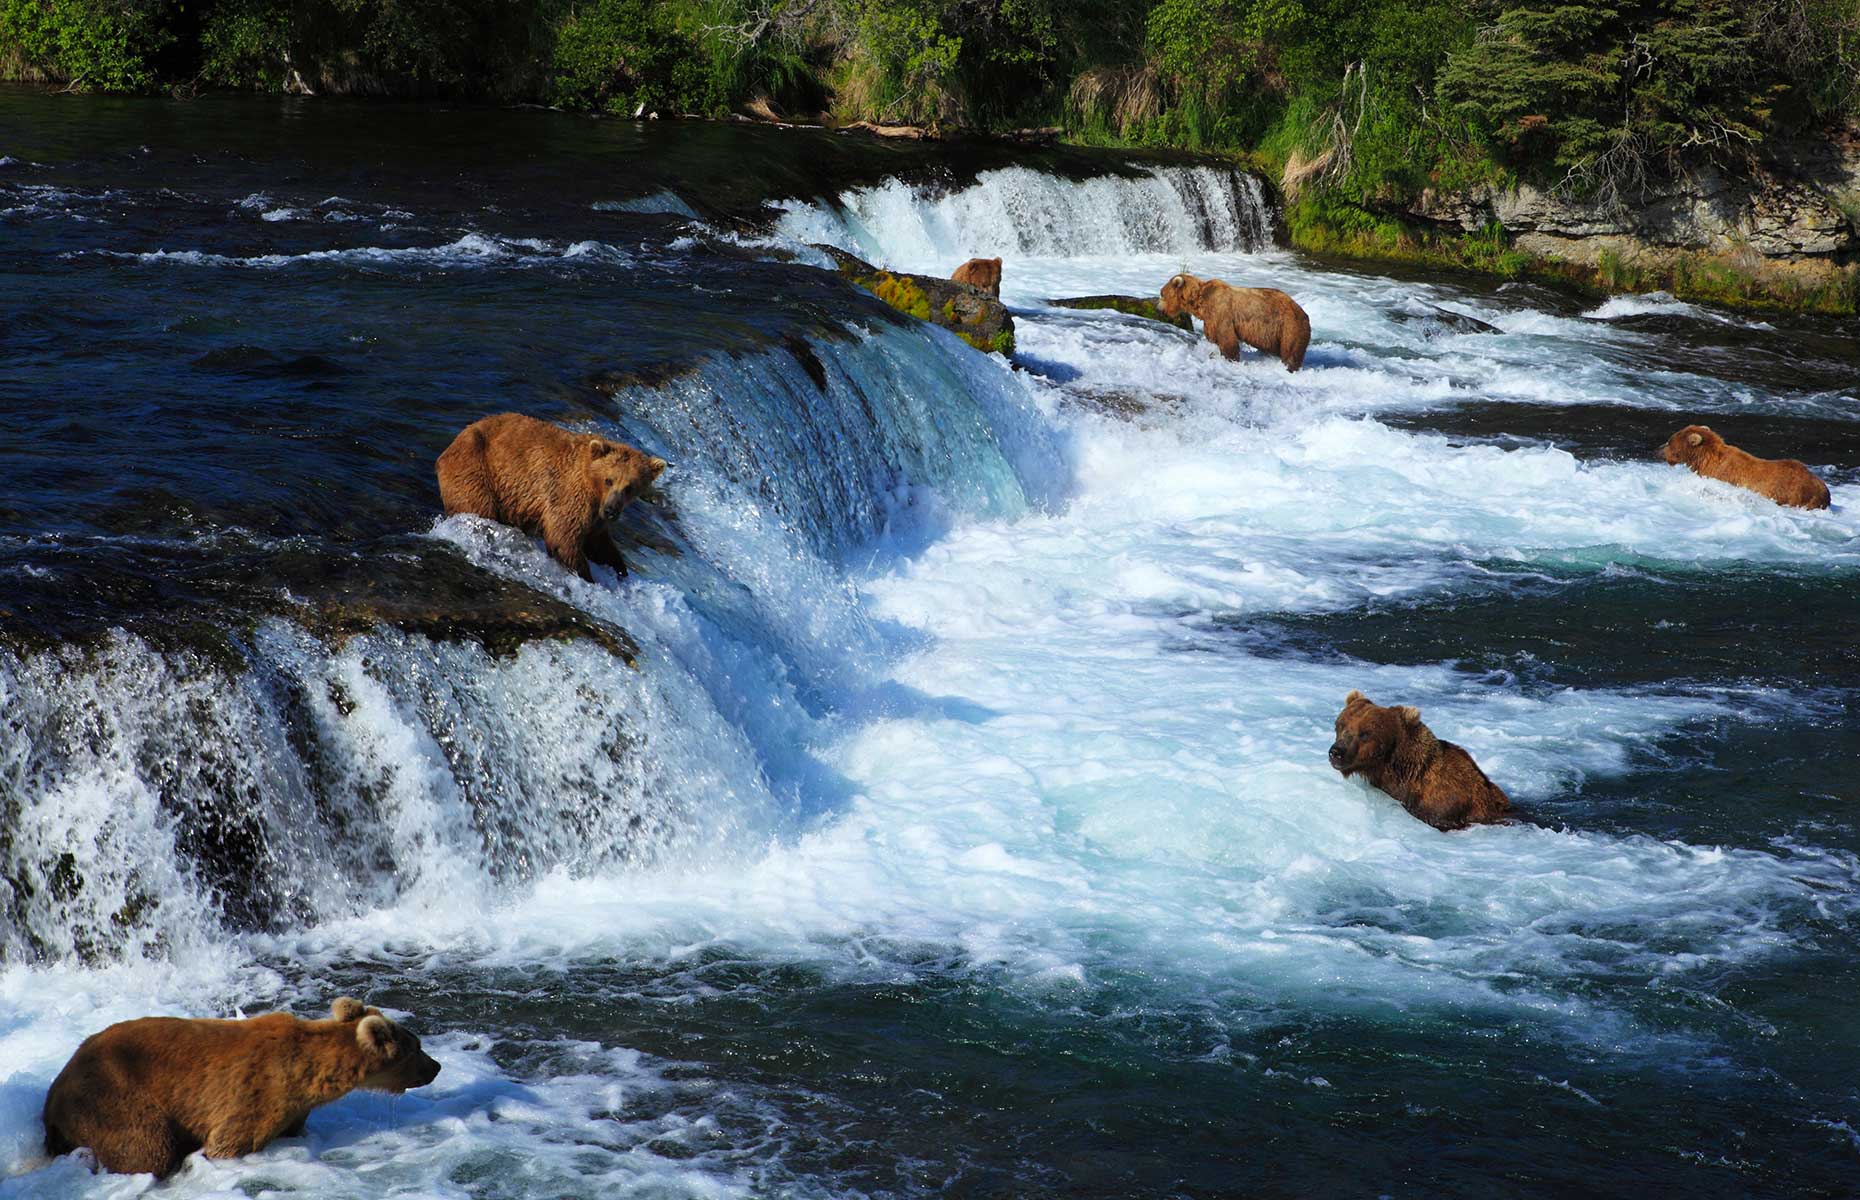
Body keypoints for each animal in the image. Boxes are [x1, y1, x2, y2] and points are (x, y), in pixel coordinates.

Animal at [44, 989, 438, 1175]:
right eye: (417, 1046)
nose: (436, 1067)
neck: (309, 1072)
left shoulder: (295, 1109)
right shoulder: (256, 1093)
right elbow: (228, 1142)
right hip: (113, 1096)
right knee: (146, 1148)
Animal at [435, 411, 669, 580]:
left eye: (630, 487)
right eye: (609, 480)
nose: (612, 510)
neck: (593, 487)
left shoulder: (596, 516)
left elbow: (598, 544)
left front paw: (619, 568)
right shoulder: (571, 493)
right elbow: (563, 537)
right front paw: (587, 576)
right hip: (475, 469)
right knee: (478, 508)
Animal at [1153, 273, 1316, 372]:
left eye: (1162, 293)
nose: (1157, 308)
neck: (1200, 302)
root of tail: (1304, 313)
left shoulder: (1222, 313)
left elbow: (1227, 340)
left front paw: (1229, 359)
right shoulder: (1210, 320)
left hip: (1289, 326)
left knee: (1291, 351)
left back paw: (1289, 367)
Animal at [1659, 424, 1830, 506]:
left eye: (1670, 441)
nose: (1658, 450)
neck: (1704, 459)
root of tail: (1824, 491)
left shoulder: (1721, 476)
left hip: (1795, 495)